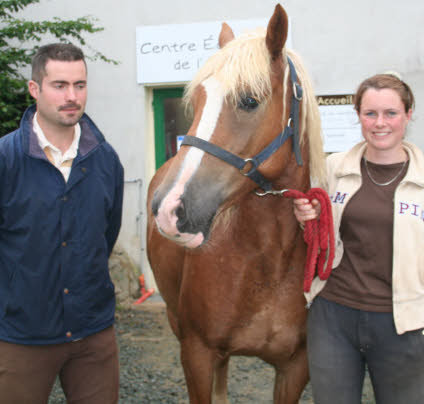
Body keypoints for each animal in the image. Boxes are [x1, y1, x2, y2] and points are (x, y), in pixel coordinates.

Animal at [146, 3, 324, 404]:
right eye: (195, 103)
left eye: (249, 101)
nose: (169, 208)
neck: (269, 260)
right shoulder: (197, 353)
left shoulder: (296, 367)